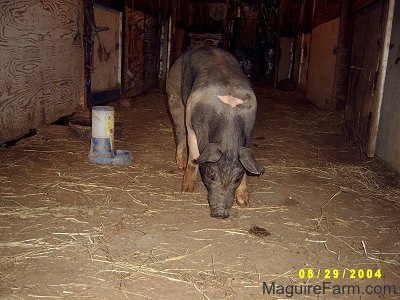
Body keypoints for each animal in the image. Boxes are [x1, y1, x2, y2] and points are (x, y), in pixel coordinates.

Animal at [166, 46, 264, 218]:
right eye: (211, 173)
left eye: (237, 176)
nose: (220, 214)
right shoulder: (193, 126)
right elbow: (194, 157)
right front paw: (186, 191)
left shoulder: (249, 131)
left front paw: (245, 203)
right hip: (174, 94)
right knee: (179, 131)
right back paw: (180, 165)